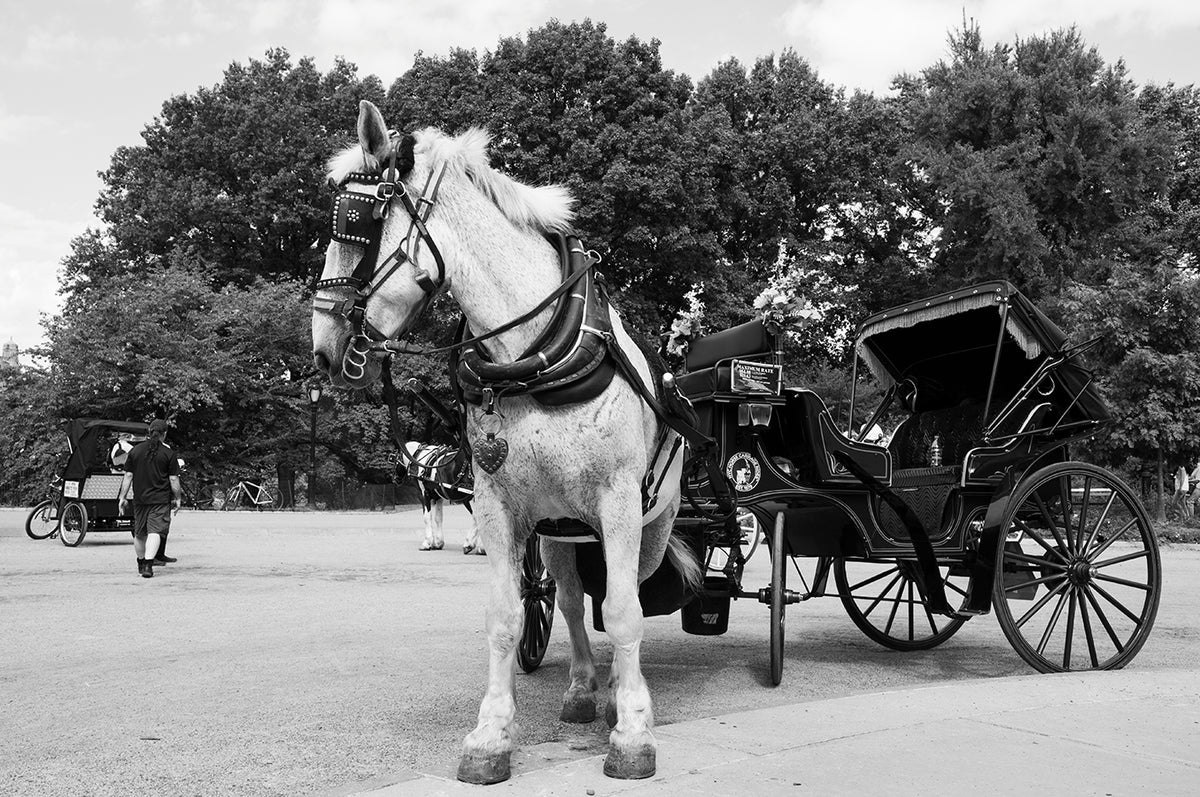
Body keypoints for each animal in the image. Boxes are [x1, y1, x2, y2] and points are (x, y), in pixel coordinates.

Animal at [311, 101, 701, 783]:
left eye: (355, 223)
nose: (322, 344)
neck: (532, 360)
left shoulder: (619, 504)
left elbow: (624, 611)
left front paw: (633, 730)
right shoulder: (499, 507)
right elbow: (506, 615)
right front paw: (491, 734)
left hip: (650, 519)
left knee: (628, 592)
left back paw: (619, 695)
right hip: (561, 532)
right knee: (568, 599)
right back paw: (581, 689)